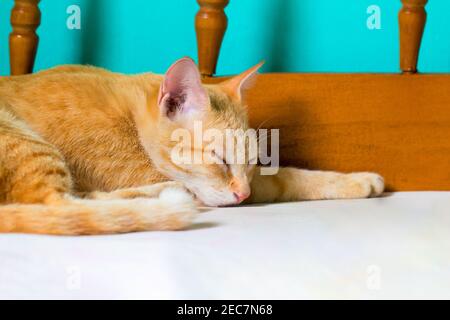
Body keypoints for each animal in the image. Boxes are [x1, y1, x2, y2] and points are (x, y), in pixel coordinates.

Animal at [0, 58, 384, 235]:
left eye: (250, 162)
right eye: (219, 158)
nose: (242, 194)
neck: (132, 118)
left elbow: (280, 176)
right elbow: (285, 177)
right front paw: (357, 180)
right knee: (55, 204)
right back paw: (163, 197)